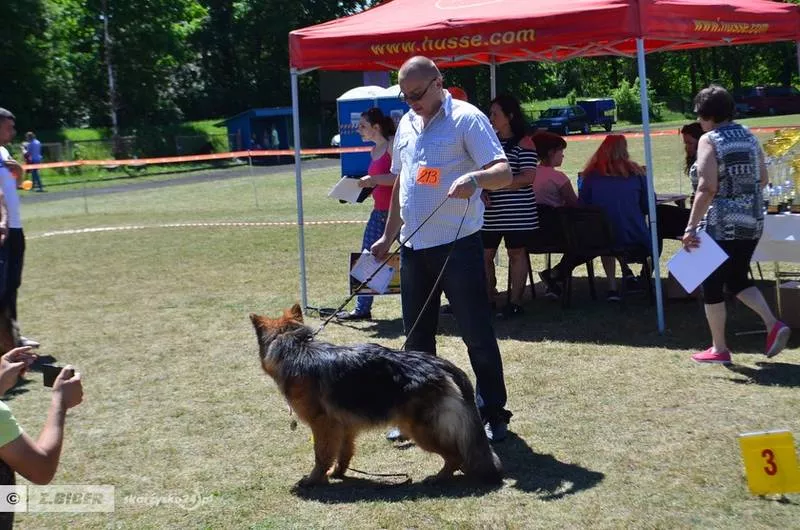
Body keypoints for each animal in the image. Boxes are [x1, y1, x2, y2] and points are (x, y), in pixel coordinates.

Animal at [250, 304, 503, 487]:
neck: (295, 346)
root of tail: (441, 363)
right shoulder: (345, 427)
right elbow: (344, 452)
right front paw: (338, 473)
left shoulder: (323, 425)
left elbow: (321, 455)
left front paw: (314, 480)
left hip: (421, 430)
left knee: (456, 456)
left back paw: (438, 478)